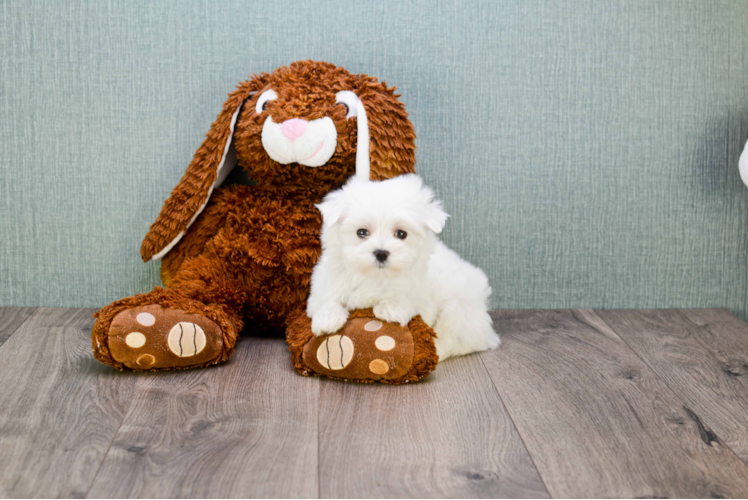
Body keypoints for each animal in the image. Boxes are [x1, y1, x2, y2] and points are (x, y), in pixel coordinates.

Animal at [306, 175, 500, 360]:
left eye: (401, 234)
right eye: (361, 232)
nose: (381, 253)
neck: (376, 277)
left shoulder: (423, 298)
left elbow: (409, 301)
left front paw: (391, 308)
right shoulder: (325, 283)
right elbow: (326, 299)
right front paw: (327, 318)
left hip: (458, 311)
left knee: (455, 340)